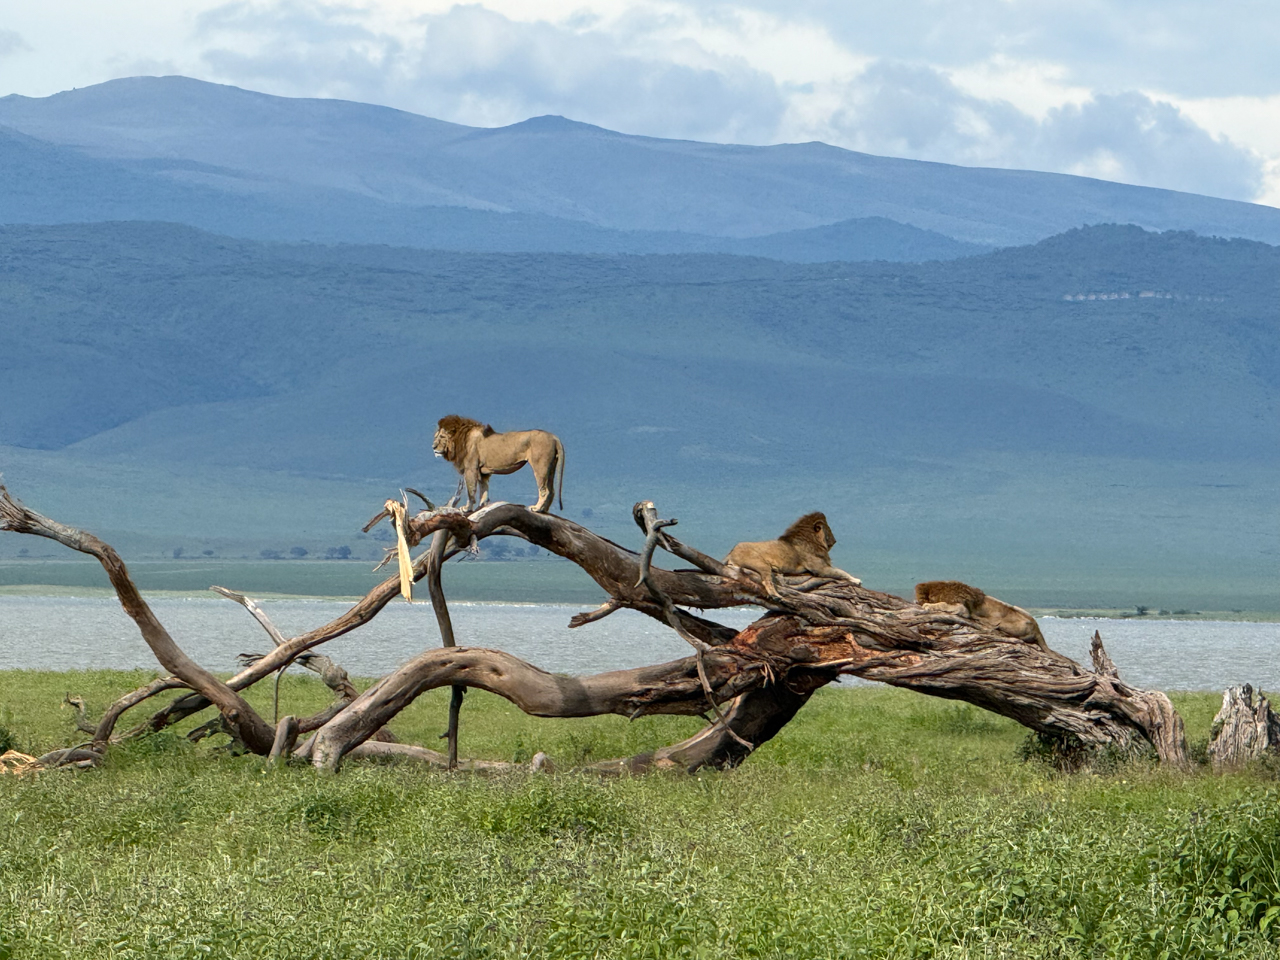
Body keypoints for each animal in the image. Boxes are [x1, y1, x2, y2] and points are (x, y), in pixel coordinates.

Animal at [433, 415, 565, 514]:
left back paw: (537, 508)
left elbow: (471, 491)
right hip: (551, 467)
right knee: (552, 491)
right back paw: (544, 510)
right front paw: (482, 506)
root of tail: (554, 437)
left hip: (540, 467)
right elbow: (484, 490)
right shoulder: (482, 472)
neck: (460, 440)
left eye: (442, 437)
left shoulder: (471, 469)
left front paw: (467, 509)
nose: (433, 447)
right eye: (435, 436)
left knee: (544, 490)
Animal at [724, 512, 861, 598]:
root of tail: (731, 552)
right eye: (829, 530)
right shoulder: (820, 569)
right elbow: (841, 572)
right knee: (766, 581)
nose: (835, 541)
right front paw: (856, 580)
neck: (811, 541)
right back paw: (776, 596)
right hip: (761, 564)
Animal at [914, 580, 1048, 650]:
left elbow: (943, 604)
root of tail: (1037, 628)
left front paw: (928, 605)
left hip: (1006, 623)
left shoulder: (963, 608)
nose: (918, 601)